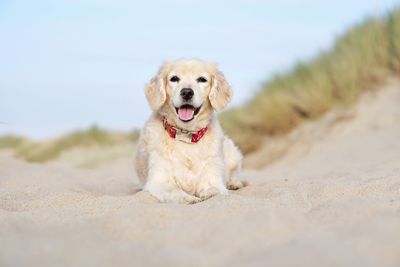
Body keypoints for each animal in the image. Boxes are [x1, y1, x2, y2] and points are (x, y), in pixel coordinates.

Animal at [135, 59, 247, 204]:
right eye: (174, 78)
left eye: (202, 79)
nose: (187, 92)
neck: (186, 136)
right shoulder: (158, 181)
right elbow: (175, 191)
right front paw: (188, 198)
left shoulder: (213, 177)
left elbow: (215, 189)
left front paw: (209, 193)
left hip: (232, 152)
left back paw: (234, 183)